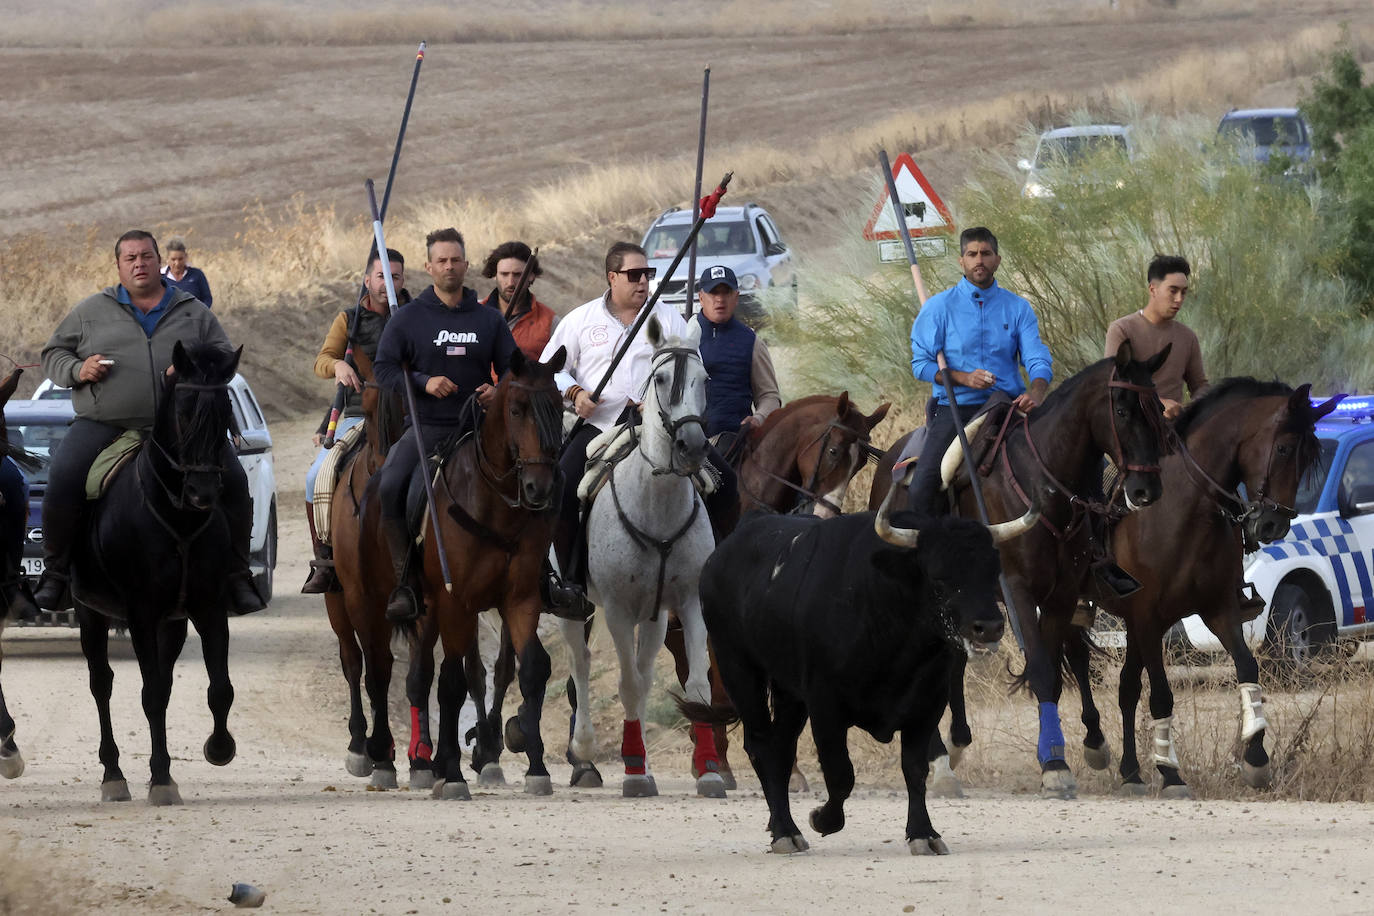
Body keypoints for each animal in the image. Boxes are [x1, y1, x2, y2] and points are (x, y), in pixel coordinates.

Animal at [72, 340, 245, 807]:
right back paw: (113, 775)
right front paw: (161, 779)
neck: (178, 518)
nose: (203, 493)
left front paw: (217, 749)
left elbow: (219, 688)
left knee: (162, 686)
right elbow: (148, 694)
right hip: (90, 611)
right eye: (183, 411)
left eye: (225, 411)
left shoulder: (208, 608)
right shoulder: (141, 614)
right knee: (101, 685)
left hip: (174, 622)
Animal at [560, 318, 725, 796]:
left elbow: (696, 685)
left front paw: (709, 769)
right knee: (581, 664)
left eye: (705, 380)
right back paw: (585, 751)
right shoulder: (617, 609)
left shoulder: (687, 602)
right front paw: (633, 768)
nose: (692, 447)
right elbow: (627, 684)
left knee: (647, 671)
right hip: (572, 608)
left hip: (654, 615)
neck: (656, 500)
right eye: (662, 378)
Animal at [681, 497, 1033, 856]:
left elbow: (914, 769)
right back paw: (784, 832)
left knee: (781, 747)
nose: (989, 626)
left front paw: (923, 833)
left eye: (992, 571)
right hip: (739, 669)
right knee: (762, 745)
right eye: (938, 576)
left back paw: (784, 825)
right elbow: (840, 774)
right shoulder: (825, 705)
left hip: (787, 692)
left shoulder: (927, 705)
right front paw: (823, 819)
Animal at [868, 343, 1170, 802]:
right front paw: (1056, 767)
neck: (1041, 484)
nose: (1145, 492)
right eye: (1121, 409)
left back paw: (956, 743)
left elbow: (1067, 666)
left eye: (1158, 409)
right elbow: (1043, 670)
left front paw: (1086, 747)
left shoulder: (1064, 593)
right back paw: (938, 762)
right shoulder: (1018, 589)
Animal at [1071, 379, 1341, 796]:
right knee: (1077, 663)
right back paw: (1093, 746)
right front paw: (1170, 772)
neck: (1186, 511)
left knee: (1126, 688)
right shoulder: (1148, 617)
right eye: (1283, 449)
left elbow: (1247, 669)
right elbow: (1161, 694)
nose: (1273, 526)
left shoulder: (1216, 610)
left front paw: (1256, 758)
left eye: (1311, 458)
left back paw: (1131, 771)